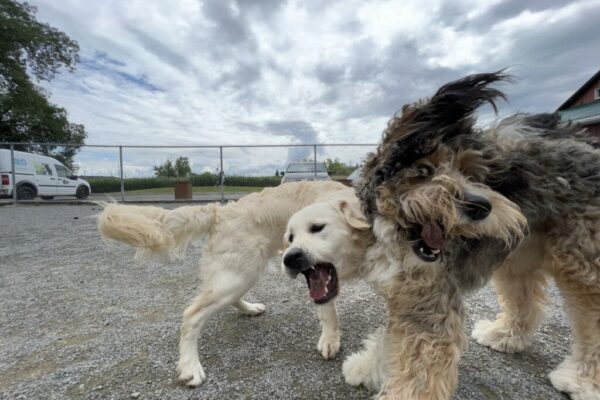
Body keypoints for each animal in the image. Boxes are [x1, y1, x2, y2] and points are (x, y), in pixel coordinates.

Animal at [98, 181, 360, 388]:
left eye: (318, 228)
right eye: (311, 229)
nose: (292, 256)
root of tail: (220, 211)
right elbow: (328, 309)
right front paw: (330, 340)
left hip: (242, 272)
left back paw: (250, 309)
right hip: (238, 274)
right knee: (191, 315)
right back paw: (190, 367)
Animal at [344, 72, 600, 400]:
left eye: (472, 173)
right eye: (423, 169)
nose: (480, 206)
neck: (398, 240)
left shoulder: (432, 301)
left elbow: (420, 368)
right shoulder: (411, 296)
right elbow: (392, 340)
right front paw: (367, 367)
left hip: (581, 262)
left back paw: (583, 381)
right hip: (522, 253)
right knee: (525, 297)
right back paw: (505, 335)